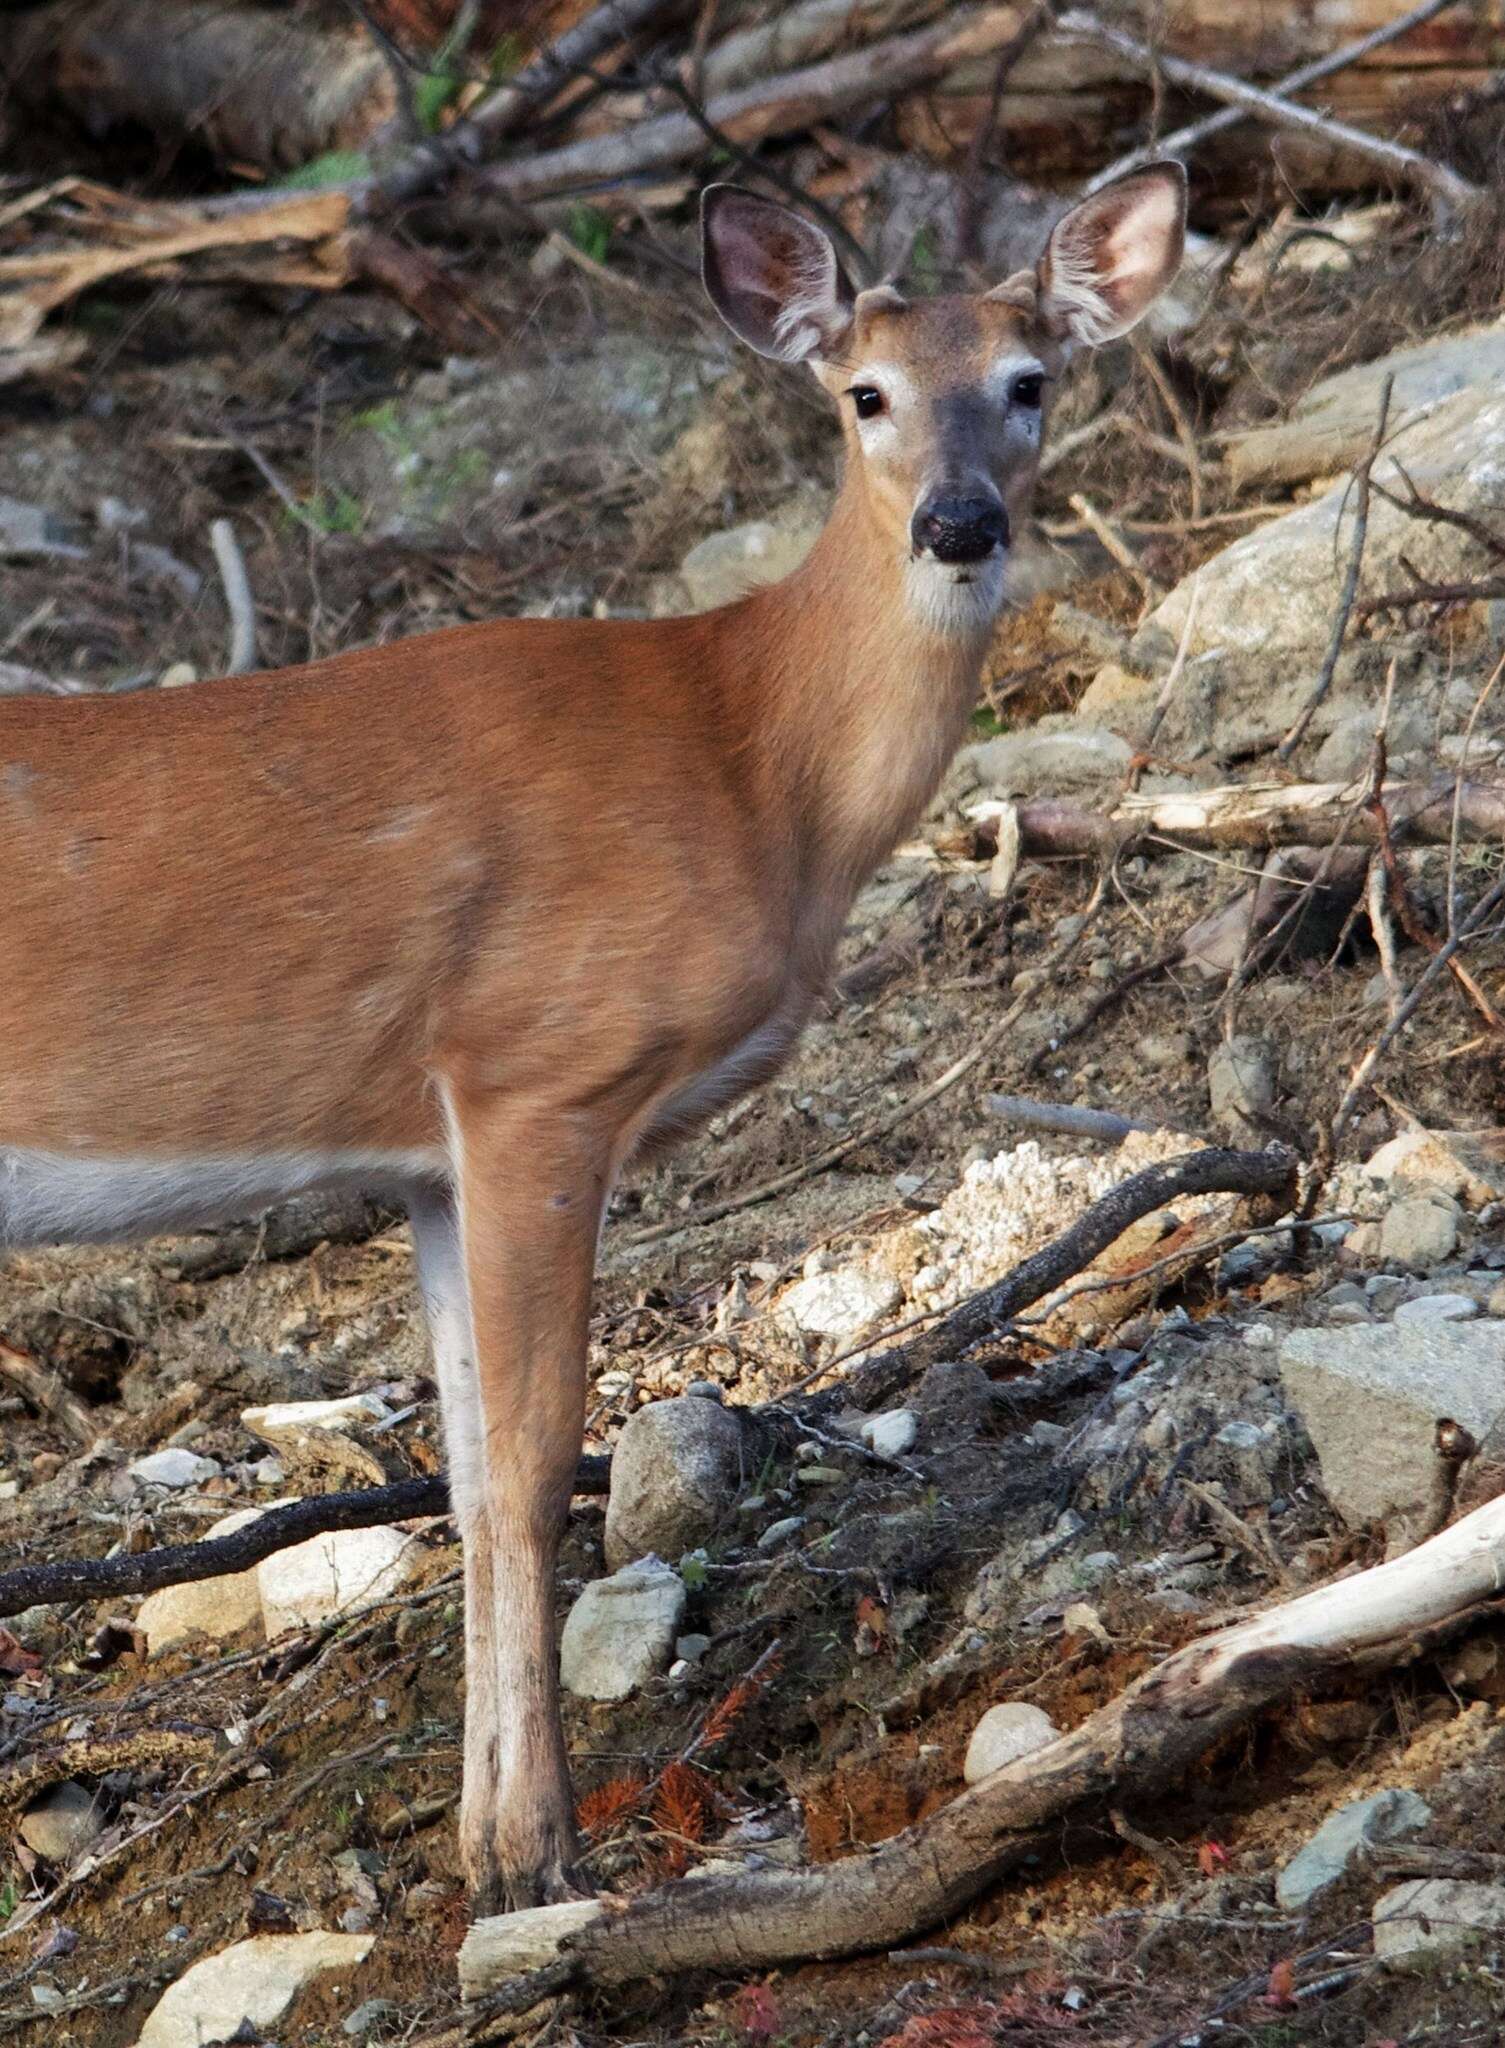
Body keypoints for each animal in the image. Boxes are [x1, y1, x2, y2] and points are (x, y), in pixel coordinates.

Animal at [2, 159, 1187, 1900]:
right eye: (865, 393)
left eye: (1030, 381)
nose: (959, 521)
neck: (755, 760)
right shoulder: (537, 1069)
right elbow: (533, 1465)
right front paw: (531, 1855)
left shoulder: (430, 1151)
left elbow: (473, 1475)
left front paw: (481, 1839)